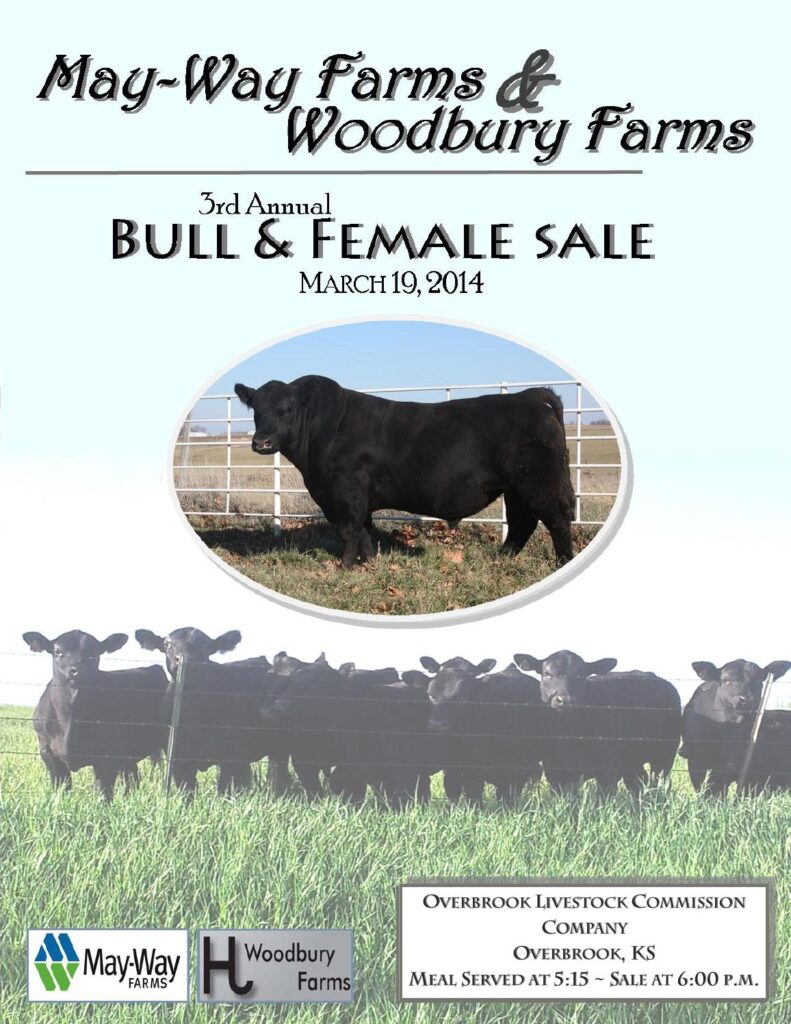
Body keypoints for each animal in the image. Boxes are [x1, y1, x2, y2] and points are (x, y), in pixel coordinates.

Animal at [24, 630, 168, 800]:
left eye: (93, 654)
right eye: (58, 651)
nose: (76, 670)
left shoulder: (107, 755)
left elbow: (103, 791)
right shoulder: (47, 751)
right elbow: (61, 787)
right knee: (132, 777)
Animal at [234, 375, 575, 568]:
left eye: (287, 409)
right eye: (256, 410)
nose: (261, 442)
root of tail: (527, 397)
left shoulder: (345, 490)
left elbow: (349, 529)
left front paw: (344, 567)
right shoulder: (354, 495)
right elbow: (364, 529)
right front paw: (370, 563)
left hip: (538, 483)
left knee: (557, 521)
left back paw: (562, 563)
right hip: (515, 489)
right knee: (522, 523)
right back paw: (501, 560)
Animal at [413, 657, 543, 805]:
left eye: (463, 697)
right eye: (430, 695)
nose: (436, 724)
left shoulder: (517, 767)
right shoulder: (455, 769)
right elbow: (459, 791)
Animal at [513, 651, 681, 794]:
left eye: (581, 675)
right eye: (547, 673)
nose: (565, 700)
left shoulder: (608, 769)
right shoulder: (554, 768)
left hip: (666, 754)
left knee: (660, 782)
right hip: (632, 759)